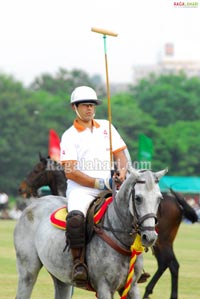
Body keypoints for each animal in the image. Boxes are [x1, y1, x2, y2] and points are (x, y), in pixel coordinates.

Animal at [19, 155, 198, 299]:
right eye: (138, 198)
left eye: (159, 198)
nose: (22, 188)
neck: (122, 237)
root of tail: (31, 205)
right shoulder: (104, 287)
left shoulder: (131, 287)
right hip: (29, 270)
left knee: (169, 263)